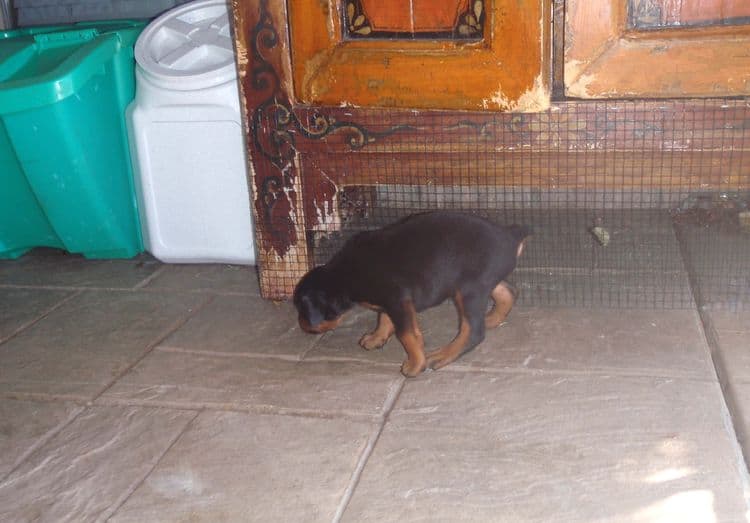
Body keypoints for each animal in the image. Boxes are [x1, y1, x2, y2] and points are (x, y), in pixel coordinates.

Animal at [294, 211, 528, 378]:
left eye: (302, 309)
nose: (301, 325)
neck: (344, 275)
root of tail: (511, 234)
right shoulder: (391, 302)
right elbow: (384, 318)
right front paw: (376, 338)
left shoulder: (397, 300)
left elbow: (407, 334)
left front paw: (416, 365)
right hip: (476, 282)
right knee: (508, 292)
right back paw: (492, 319)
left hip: (469, 290)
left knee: (473, 331)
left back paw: (443, 355)